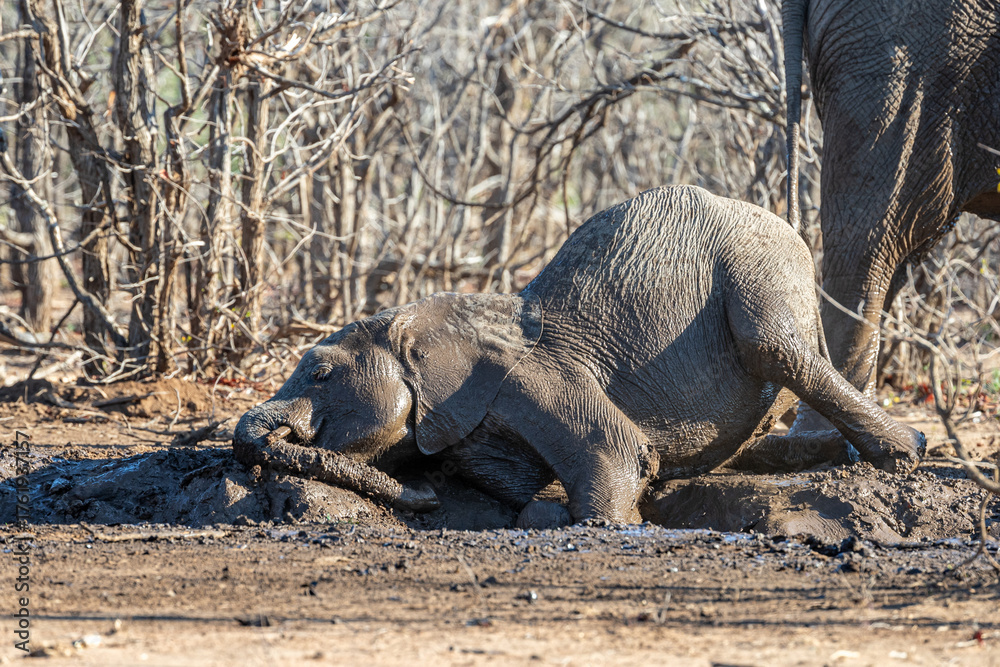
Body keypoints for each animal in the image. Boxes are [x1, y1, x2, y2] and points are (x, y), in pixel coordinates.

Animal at [233, 185, 924, 527]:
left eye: (320, 371)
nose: (421, 500)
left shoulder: (532, 379)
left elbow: (616, 454)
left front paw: (609, 526)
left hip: (760, 266)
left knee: (781, 350)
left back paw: (907, 452)